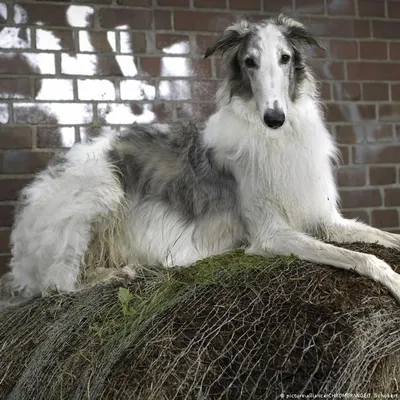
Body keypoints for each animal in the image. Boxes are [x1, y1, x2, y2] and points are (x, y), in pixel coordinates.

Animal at [3, 15, 400, 304]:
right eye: (249, 62)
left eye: (285, 58)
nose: (274, 118)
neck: (275, 139)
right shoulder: (270, 233)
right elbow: (362, 257)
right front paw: (393, 279)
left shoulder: (324, 218)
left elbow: (382, 235)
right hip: (96, 193)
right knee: (58, 286)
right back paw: (116, 274)